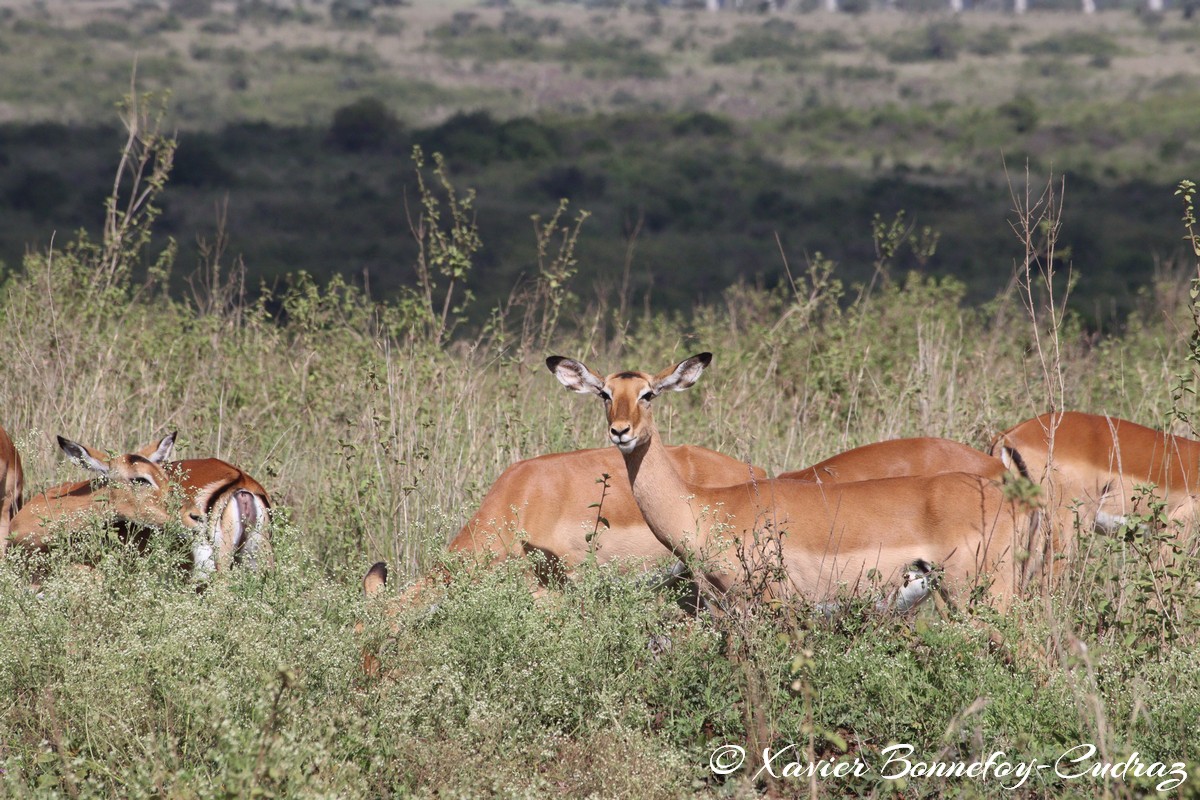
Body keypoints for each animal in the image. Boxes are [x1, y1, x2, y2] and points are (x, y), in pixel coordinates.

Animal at [548, 352, 1036, 610]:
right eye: (605, 393)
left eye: (648, 393)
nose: (621, 432)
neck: (704, 508)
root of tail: (1009, 493)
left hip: (984, 595)